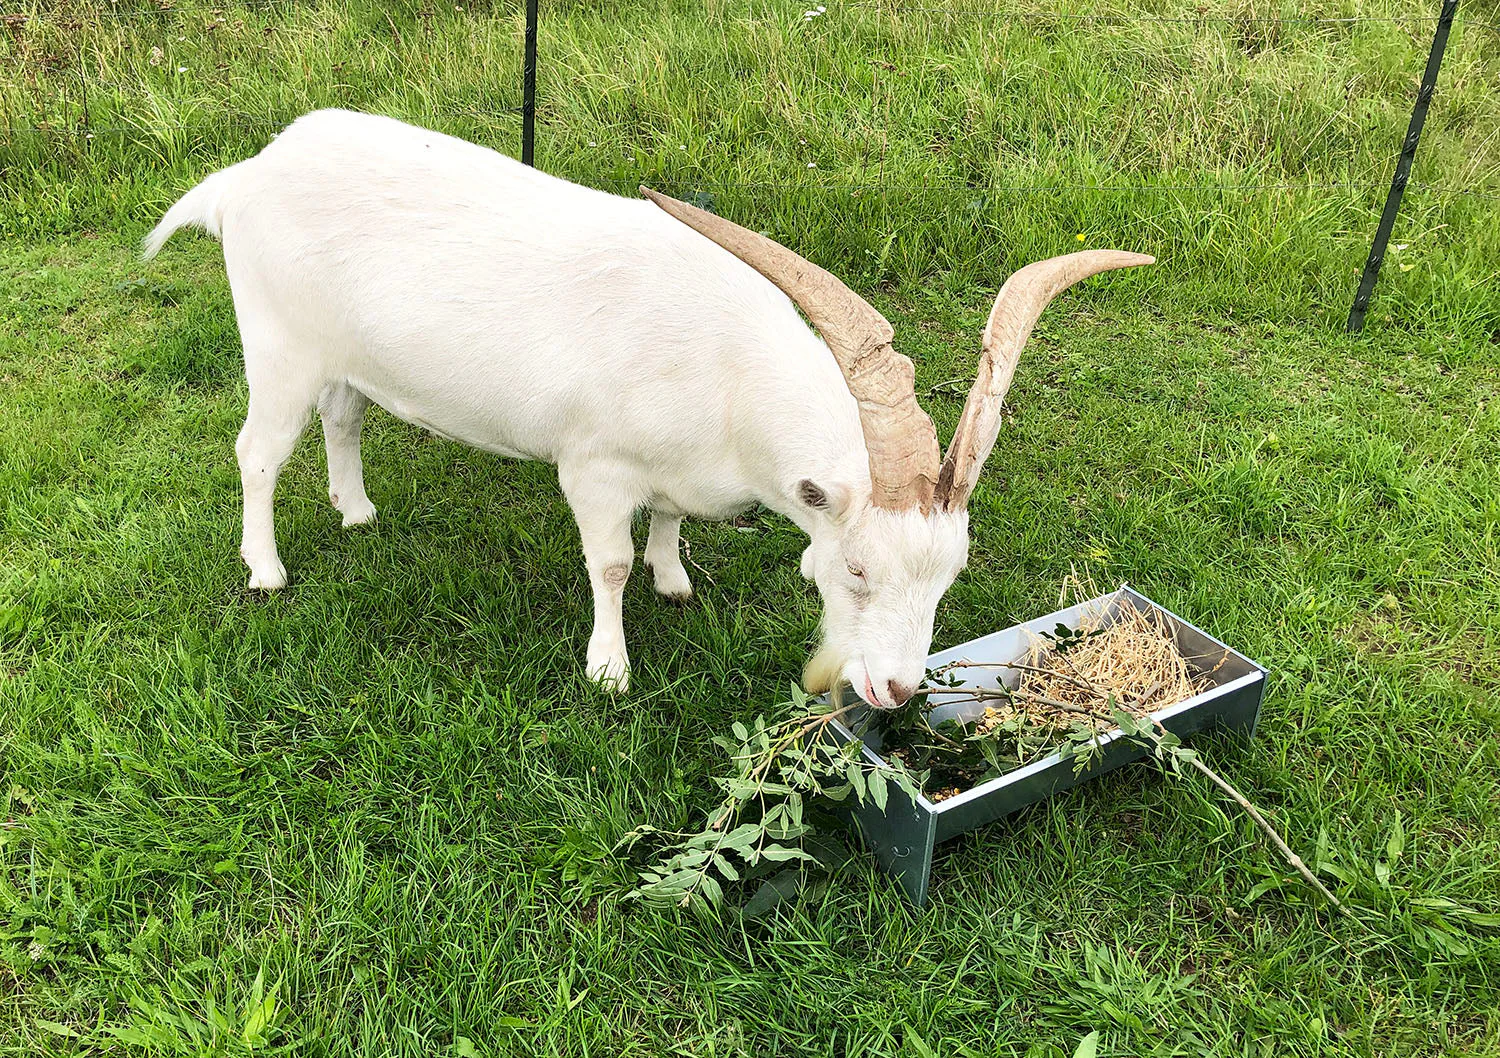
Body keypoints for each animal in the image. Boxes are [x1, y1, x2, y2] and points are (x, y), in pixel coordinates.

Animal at [143, 109, 1151, 704]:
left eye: (949, 578)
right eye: (858, 572)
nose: (898, 692)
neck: (729, 380)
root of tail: (247, 174)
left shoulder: (678, 472)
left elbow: (668, 526)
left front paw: (676, 579)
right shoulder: (592, 469)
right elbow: (611, 563)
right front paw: (609, 667)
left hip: (344, 357)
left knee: (344, 418)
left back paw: (356, 512)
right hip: (277, 346)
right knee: (258, 450)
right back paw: (266, 569)